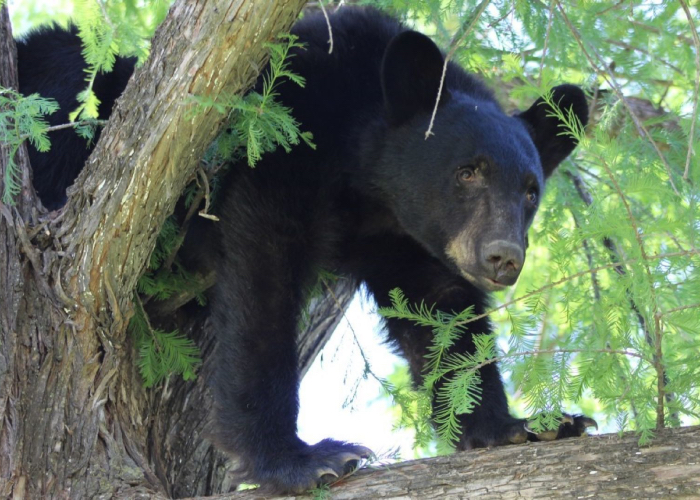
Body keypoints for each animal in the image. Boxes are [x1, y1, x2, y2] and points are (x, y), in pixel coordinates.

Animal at [17, 5, 592, 494]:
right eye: (468, 171)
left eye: (530, 192)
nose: (503, 257)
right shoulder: (285, 135)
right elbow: (263, 279)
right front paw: (302, 459)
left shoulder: (406, 236)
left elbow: (443, 314)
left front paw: (520, 425)